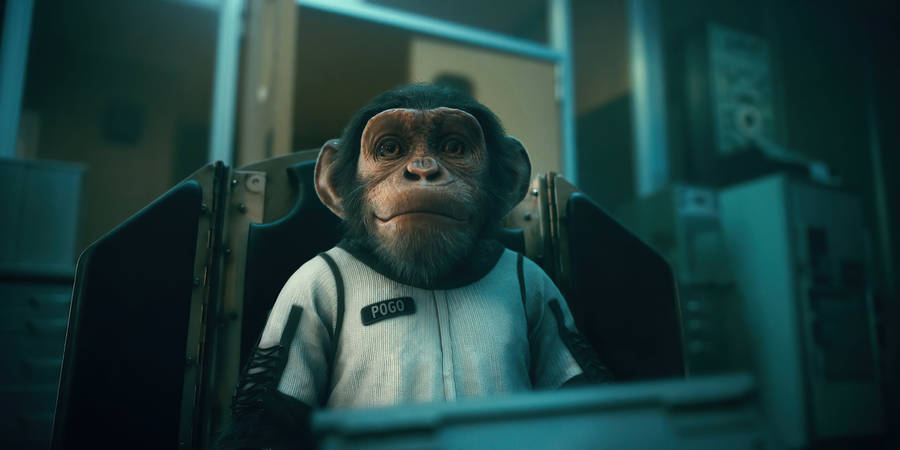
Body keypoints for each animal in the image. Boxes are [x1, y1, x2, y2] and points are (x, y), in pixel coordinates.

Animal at [219, 84, 609, 449]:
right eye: (390, 149)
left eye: (454, 148)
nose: (422, 171)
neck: (433, 282)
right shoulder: (302, 290)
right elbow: (270, 412)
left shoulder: (542, 287)